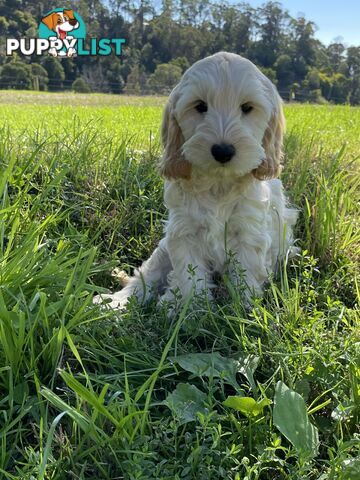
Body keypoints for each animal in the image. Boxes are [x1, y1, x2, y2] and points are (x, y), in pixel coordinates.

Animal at [94, 51, 296, 308]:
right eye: (200, 106)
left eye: (247, 108)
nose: (222, 151)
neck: (219, 184)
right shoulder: (184, 231)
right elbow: (190, 275)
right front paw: (191, 307)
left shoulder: (249, 232)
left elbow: (245, 273)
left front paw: (243, 308)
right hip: (162, 250)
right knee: (146, 276)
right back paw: (119, 302)